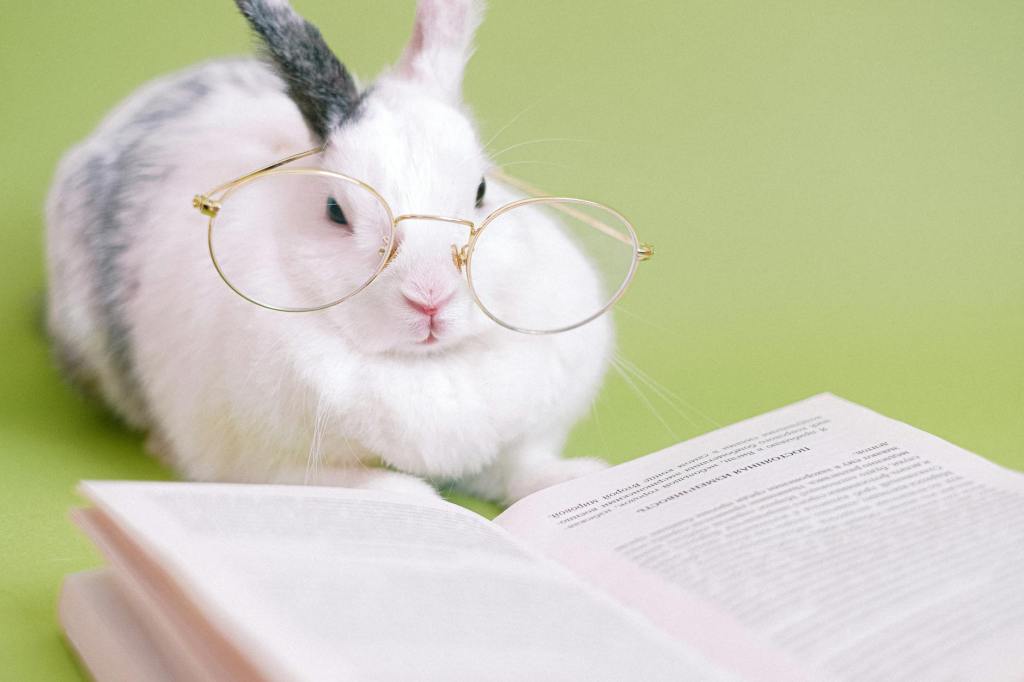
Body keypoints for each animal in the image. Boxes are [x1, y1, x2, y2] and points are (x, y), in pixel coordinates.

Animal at [45, 0, 614, 504]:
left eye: (480, 191)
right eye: (336, 211)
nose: (430, 298)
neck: (423, 366)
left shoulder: (519, 441)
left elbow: (522, 469)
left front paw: (578, 477)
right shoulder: (263, 463)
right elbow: (353, 483)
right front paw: (415, 498)